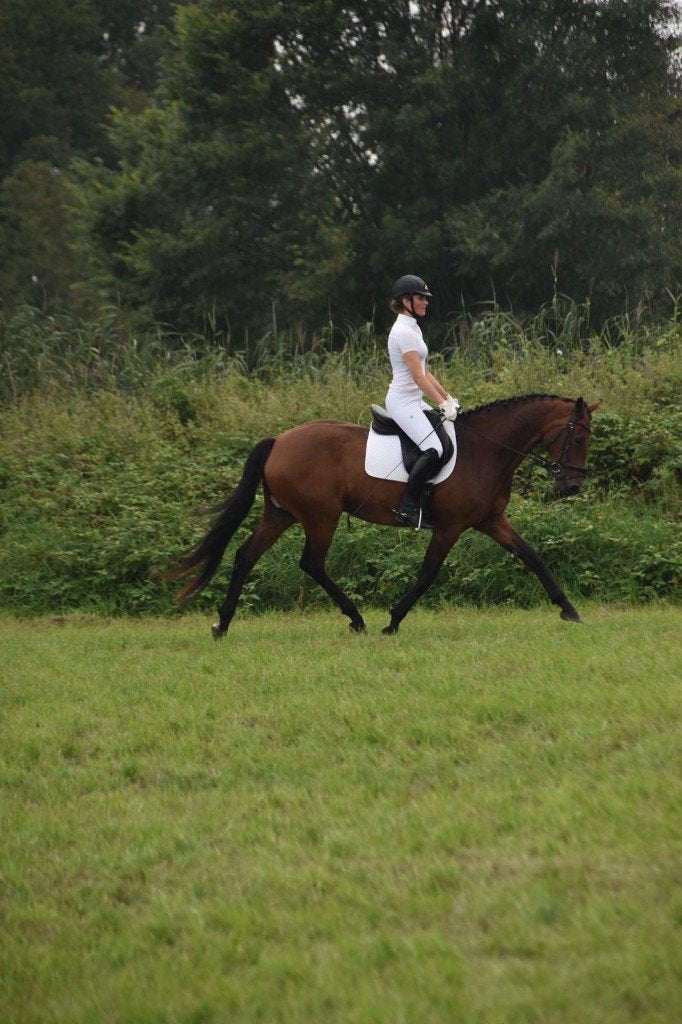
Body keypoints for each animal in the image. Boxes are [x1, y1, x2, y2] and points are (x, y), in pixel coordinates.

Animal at [171, 394, 599, 638]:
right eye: (579, 438)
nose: (572, 486)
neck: (485, 450)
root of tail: (278, 441)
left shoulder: (491, 521)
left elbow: (532, 557)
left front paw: (569, 609)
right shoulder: (450, 526)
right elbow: (427, 575)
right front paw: (392, 622)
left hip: (281, 514)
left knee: (245, 556)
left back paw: (222, 625)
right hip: (321, 516)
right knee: (312, 562)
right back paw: (356, 618)